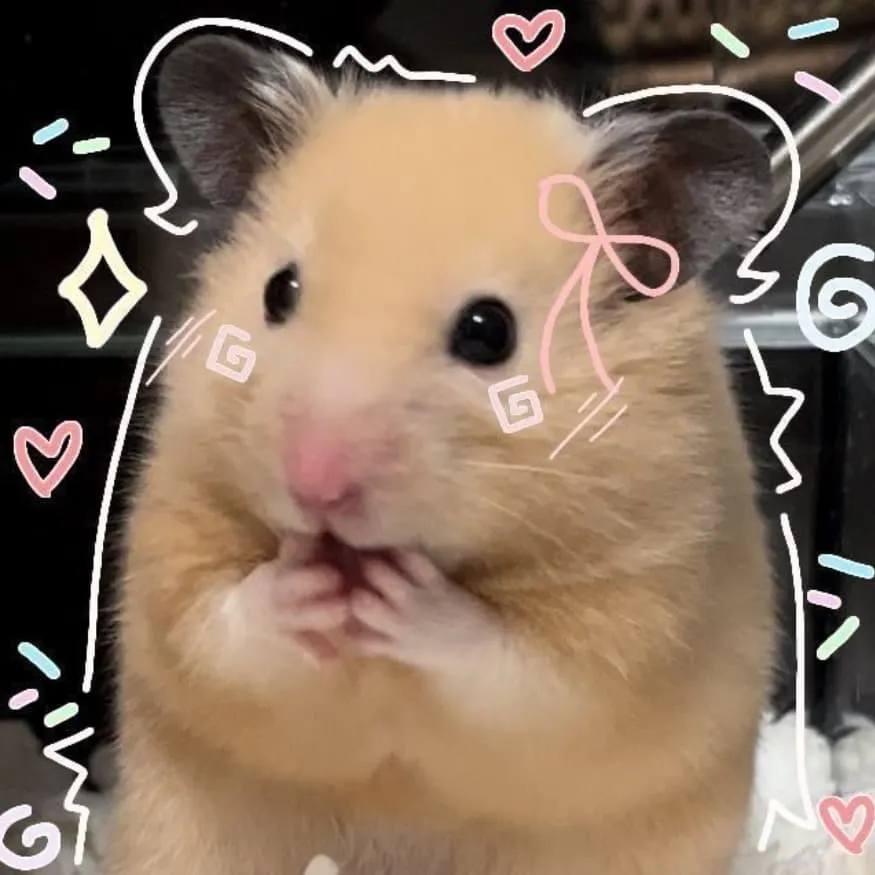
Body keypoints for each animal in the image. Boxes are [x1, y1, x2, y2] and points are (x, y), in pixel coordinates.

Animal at [106, 34, 776, 875]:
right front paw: (306, 582)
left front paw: (403, 595)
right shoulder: (177, 527)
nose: (314, 486)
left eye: (488, 331)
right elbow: (217, 624)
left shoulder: (639, 611)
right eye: (278, 291)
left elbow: (517, 668)